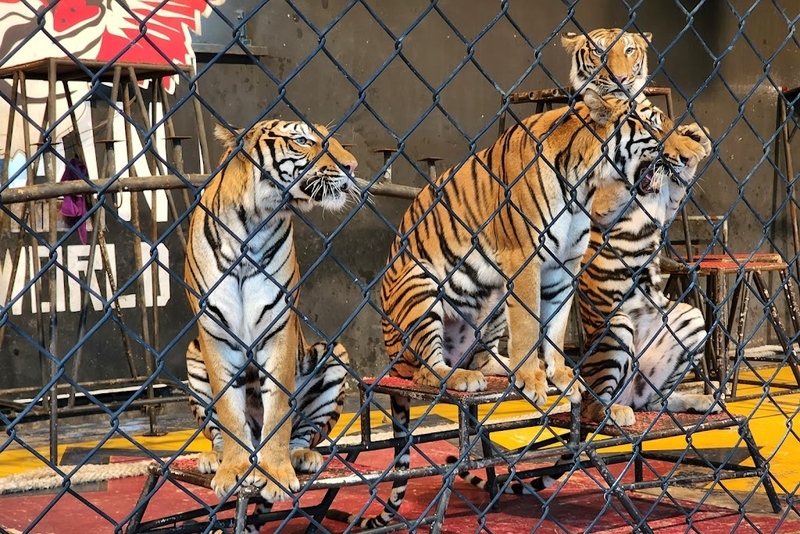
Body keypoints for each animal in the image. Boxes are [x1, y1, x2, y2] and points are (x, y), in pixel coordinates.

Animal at [184, 119, 357, 503]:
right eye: (303, 140)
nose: (352, 166)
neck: (254, 223)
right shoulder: (215, 334)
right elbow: (230, 416)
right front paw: (232, 472)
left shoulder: (278, 330)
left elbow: (278, 411)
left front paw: (276, 475)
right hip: (193, 356)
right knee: (219, 431)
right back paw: (214, 458)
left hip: (334, 355)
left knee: (304, 431)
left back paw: (302, 456)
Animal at [332, 91, 692, 529]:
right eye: (654, 122)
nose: (682, 157)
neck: (587, 183)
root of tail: (388, 357)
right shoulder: (524, 257)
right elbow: (528, 327)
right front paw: (534, 381)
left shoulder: (563, 264)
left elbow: (554, 329)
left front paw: (559, 376)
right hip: (421, 286)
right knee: (424, 370)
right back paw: (460, 377)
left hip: (490, 303)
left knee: (480, 357)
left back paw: (496, 369)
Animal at [578, 121, 720, 427]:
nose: (680, 157)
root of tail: (629, 396)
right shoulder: (600, 204)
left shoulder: (668, 203)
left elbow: (677, 187)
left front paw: (696, 138)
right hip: (616, 326)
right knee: (594, 405)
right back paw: (613, 412)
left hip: (690, 319)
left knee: (656, 401)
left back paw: (703, 400)